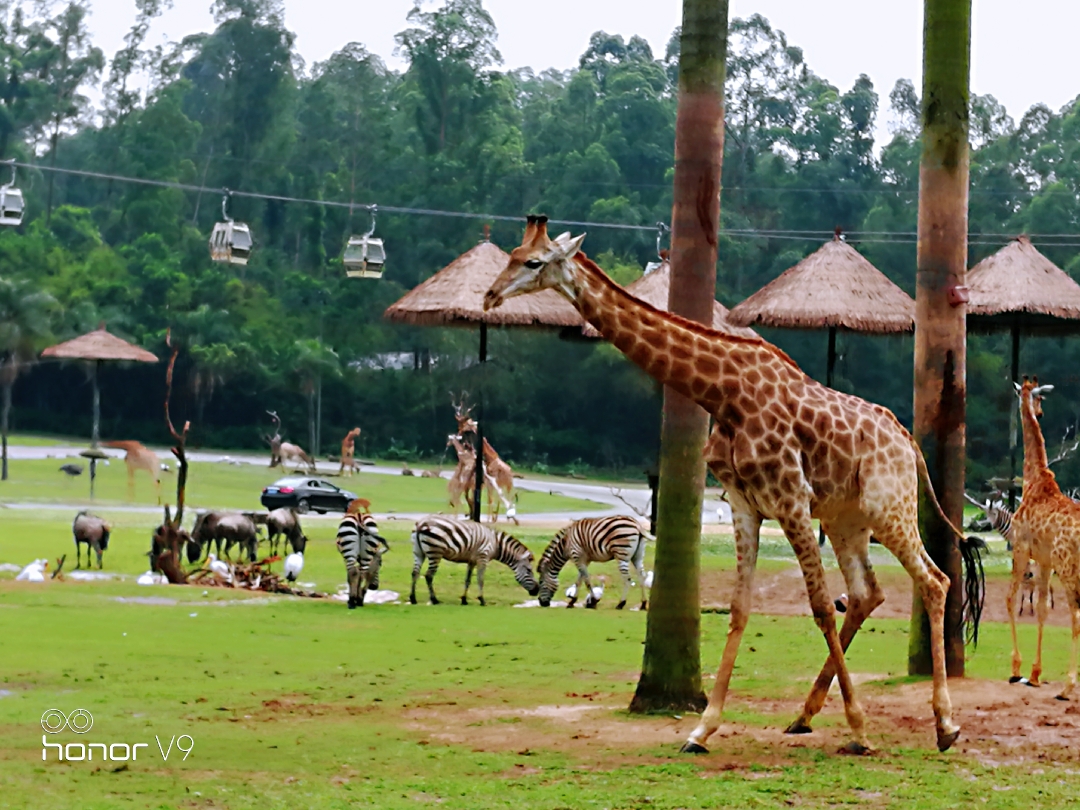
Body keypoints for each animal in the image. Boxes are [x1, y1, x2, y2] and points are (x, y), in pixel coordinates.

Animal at [406, 516, 537, 604]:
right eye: (529, 570)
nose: (537, 590)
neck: (495, 544)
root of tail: (421, 523)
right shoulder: (483, 558)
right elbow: (480, 579)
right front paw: (482, 600)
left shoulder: (472, 561)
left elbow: (467, 580)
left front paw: (464, 600)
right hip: (435, 552)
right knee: (429, 575)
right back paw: (434, 600)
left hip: (418, 552)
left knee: (415, 573)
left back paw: (413, 598)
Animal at [483, 213, 989, 756]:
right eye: (512, 254)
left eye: (533, 262)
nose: (489, 296)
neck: (722, 394)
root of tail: (907, 441)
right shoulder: (747, 504)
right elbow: (740, 609)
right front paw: (701, 729)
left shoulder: (790, 498)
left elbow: (819, 607)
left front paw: (859, 729)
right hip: (845, 517)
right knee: (866, 593)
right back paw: (803, 716)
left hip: (888, 507)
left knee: (933, 581)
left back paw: (945, 725)